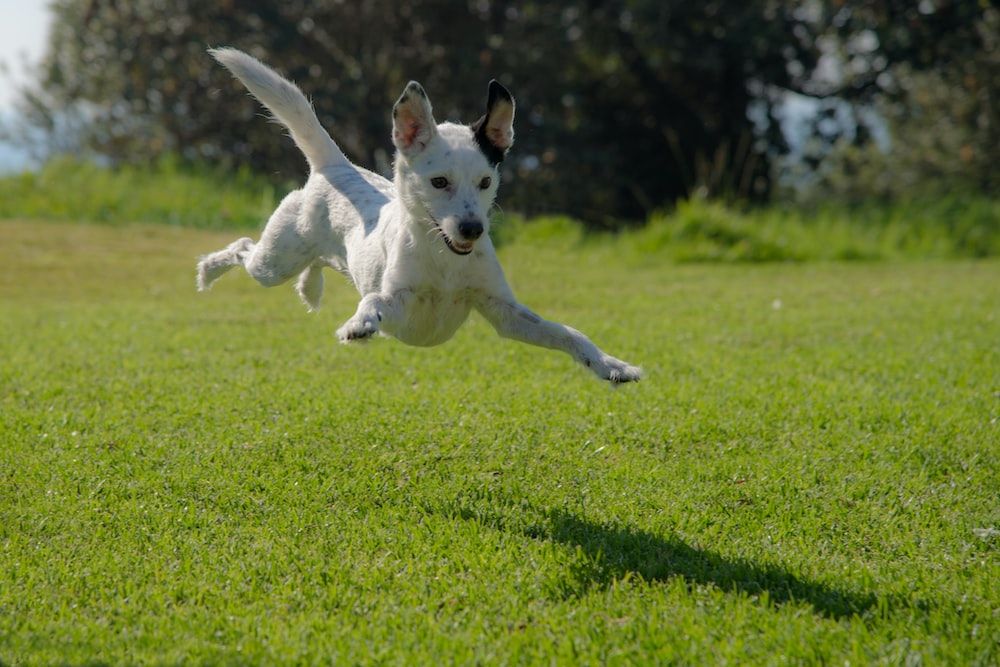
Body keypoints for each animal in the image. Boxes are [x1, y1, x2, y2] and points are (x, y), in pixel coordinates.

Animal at [199, 49, 644, 384]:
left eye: (486, 182)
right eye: (439, 181)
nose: (472, 229)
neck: (445, 261)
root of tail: (336, 166)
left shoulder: (504, 312)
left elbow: (568, 333)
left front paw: (611, 365)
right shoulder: (400, 302)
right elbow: (374, 301)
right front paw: (359, 324)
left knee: (315, 263)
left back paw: (310, 287)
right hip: (275, 261)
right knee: (243, 248)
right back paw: (208, 271)